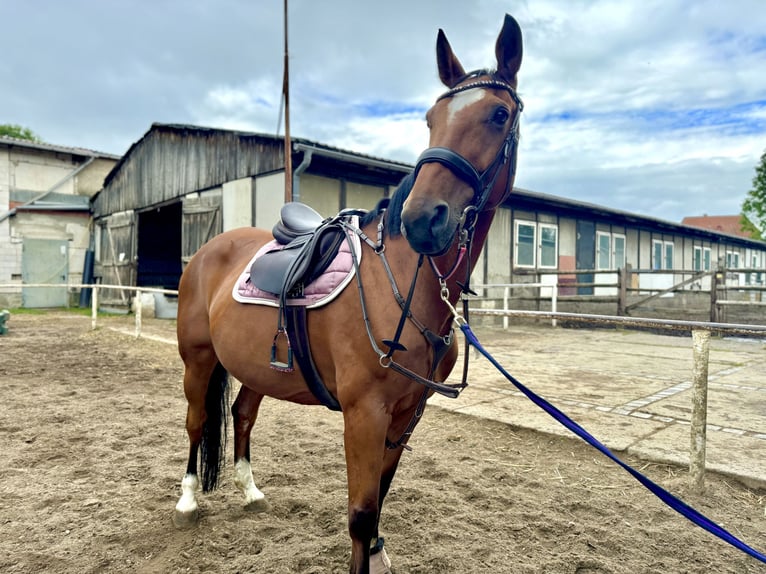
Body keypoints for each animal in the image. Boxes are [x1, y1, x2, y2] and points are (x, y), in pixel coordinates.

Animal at [176, 13, 520, 574]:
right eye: (430, 118)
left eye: (498, 113)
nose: (423, 218)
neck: (399, 283)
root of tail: (211, 247)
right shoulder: (364, 414)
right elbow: (360, 515)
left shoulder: (406, 414)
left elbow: (379, 502)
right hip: (199, 359)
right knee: (196, 421)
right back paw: (186, 501)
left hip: (254, 365)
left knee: (241, 415)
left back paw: (250, 492)